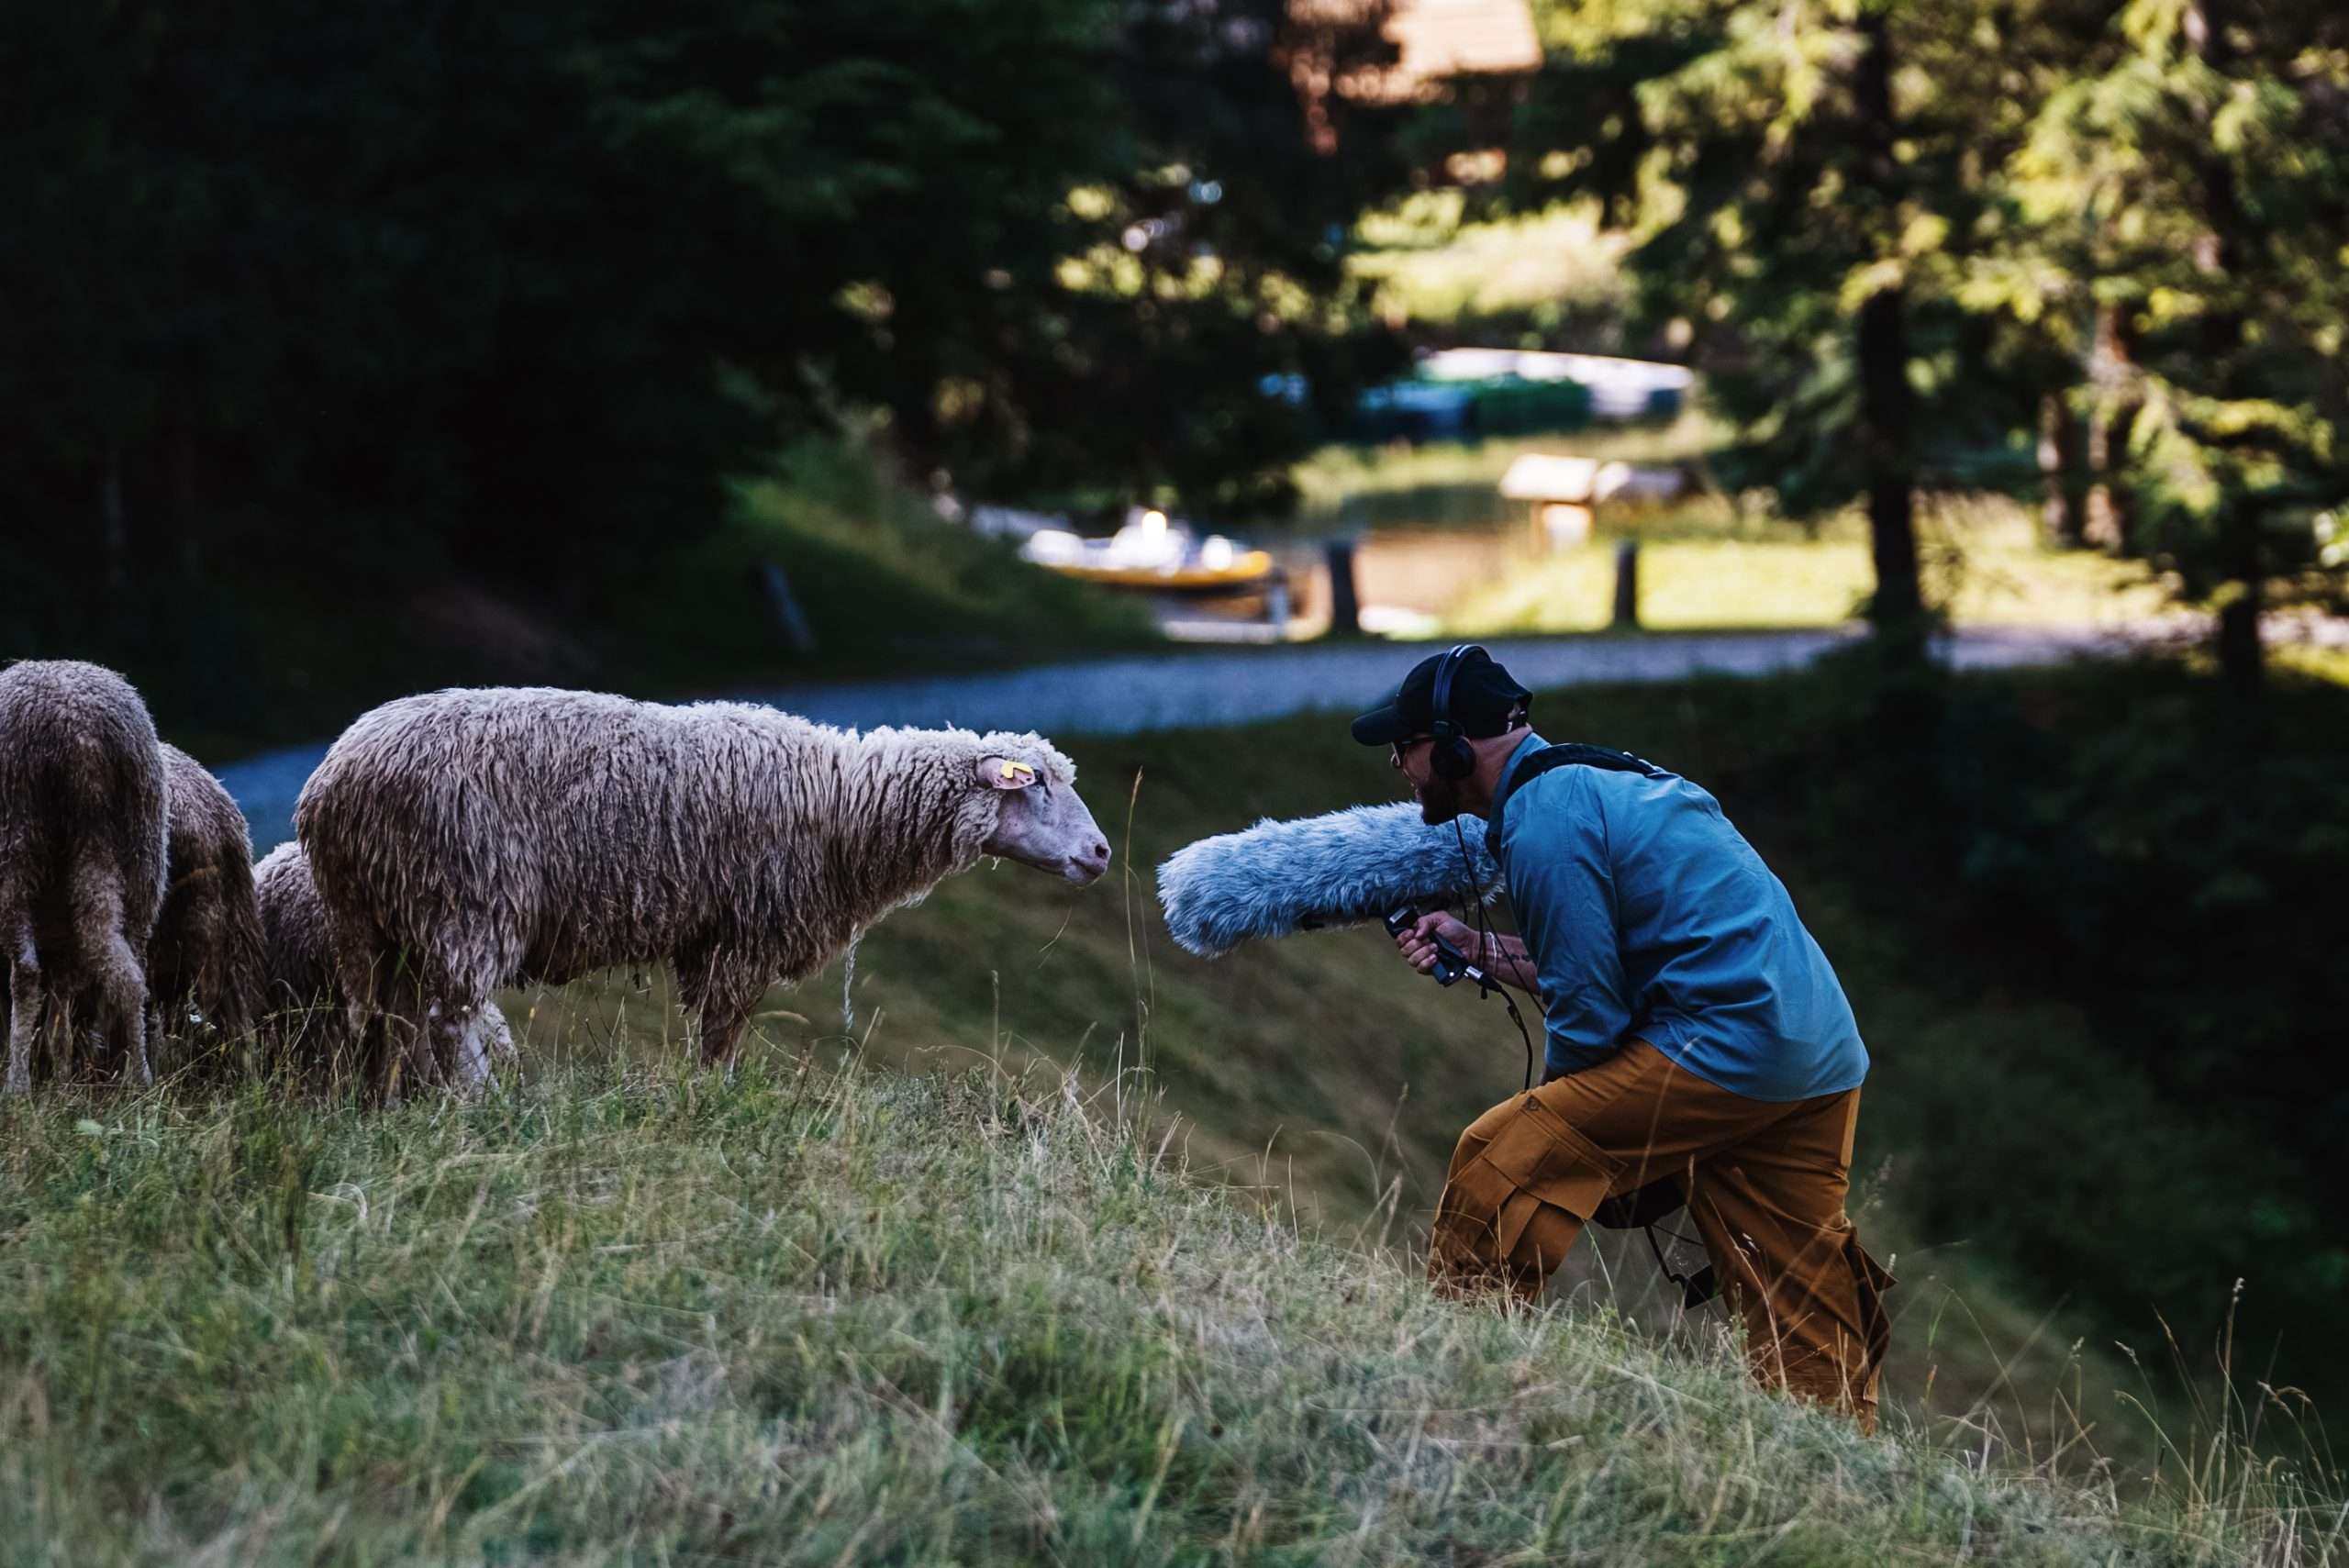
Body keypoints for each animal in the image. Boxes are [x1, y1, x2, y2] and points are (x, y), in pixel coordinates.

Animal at [0, 657, 168, 1089]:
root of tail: (81, 735)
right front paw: (61, 1078)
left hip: (18, 842)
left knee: (27, 972)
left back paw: (18, 1086)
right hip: (140, 853)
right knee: (130, 967)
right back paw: (138, 1075)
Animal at [291, 685, 1108, 1089]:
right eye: (1037, 784)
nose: (1101, 852)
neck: (843, 802)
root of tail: (331, 785)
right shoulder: (742, 933)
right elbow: (721, 1036)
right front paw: (713, 1100)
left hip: (384, 921)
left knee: (392, 1022)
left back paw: (400, 1102)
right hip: (466, 898)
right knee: (449, 1019)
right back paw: (475, 1105)